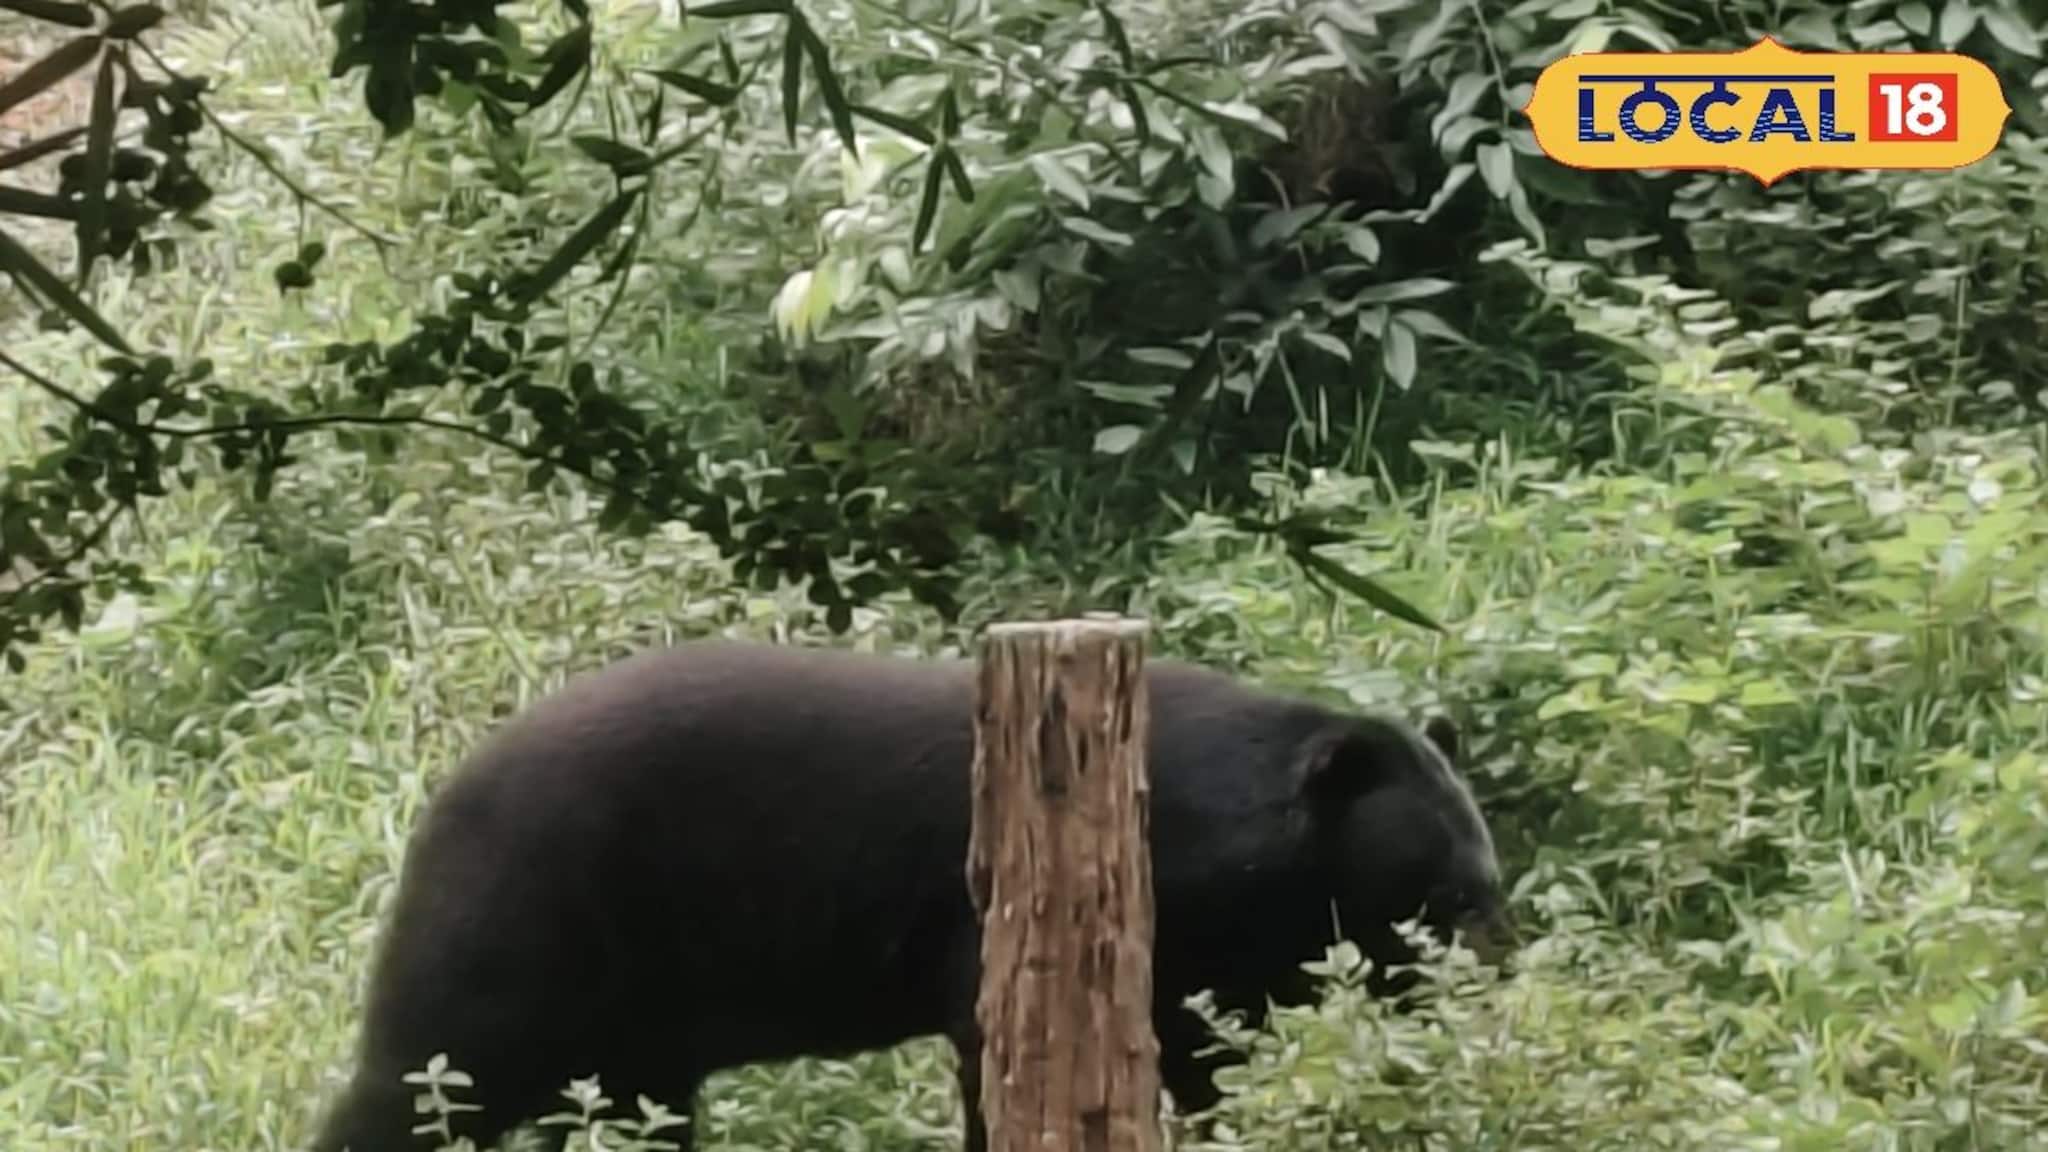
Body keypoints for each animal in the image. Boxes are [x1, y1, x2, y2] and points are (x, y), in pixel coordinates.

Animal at [312, 641, 1509, 1152]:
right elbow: (1004, 1035)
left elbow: (1202, 1051)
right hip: (535, 920)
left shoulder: (1221, 952)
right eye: (1448, 897)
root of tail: (442, 797)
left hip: (632, 1015)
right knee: (422, 1078)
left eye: (1480, 886)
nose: (1498, 974)